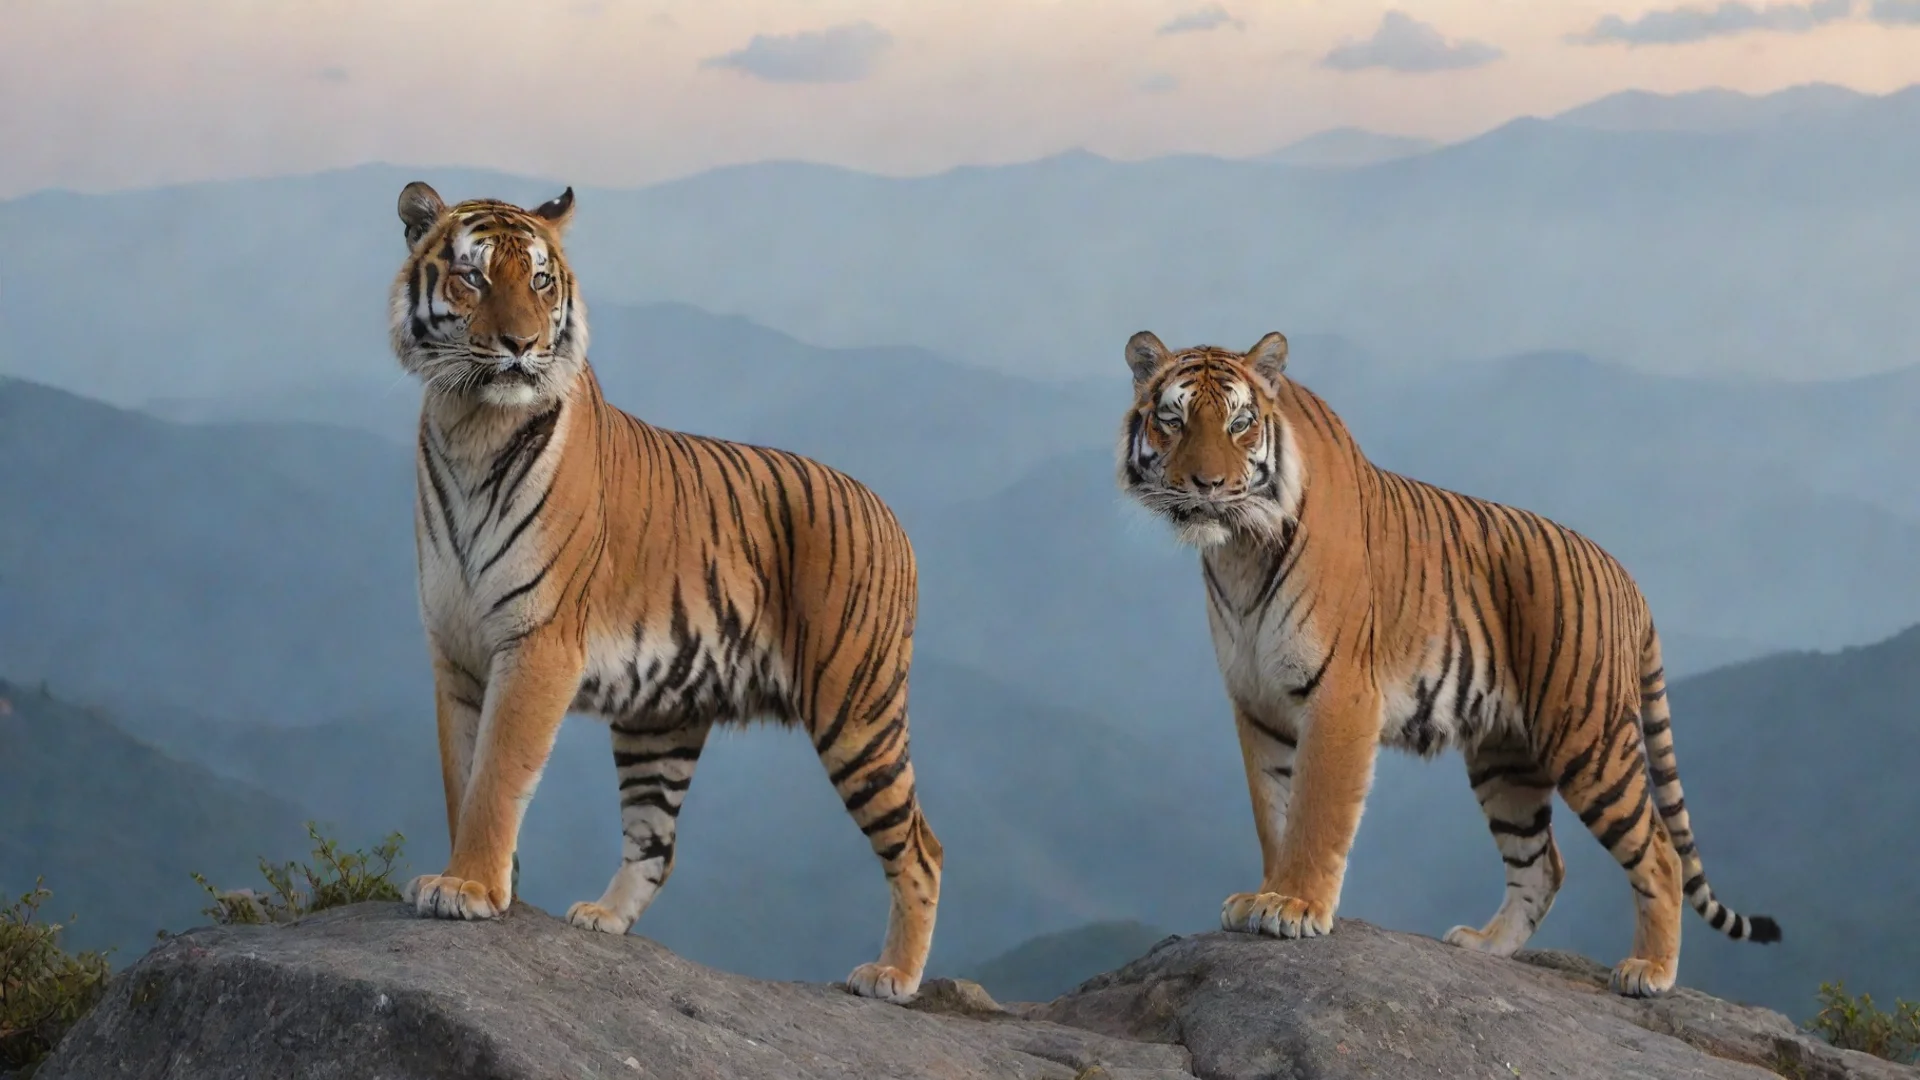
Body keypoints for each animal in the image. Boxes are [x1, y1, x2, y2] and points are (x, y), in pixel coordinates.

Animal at [385, 181, 942, 1002]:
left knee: (922, 848)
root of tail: (890, 513)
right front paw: (482, 881)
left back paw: (892, 976)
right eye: (473, 278)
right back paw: (601, 918)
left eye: (540, 281)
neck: (470, 423)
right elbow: (462, 776)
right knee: (657, 841)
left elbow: (496, 776)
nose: (521, 344)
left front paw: (468, 889)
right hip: (662, 717)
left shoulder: (537, 643)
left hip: (856, 711)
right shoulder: (454, 652)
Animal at [1116, 330, 1779, 997]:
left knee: (1661, 853)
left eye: (1241, 423)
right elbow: (1272, 813)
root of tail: (1631, 584)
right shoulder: (1258, 704)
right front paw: (1265, 894)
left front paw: (1294, 905)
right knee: (1543, 864)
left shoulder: (1339, 695)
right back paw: (1486, 946)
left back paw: (1649, 971)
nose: (1207, 485)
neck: (1239, 551)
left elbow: (1315, 809)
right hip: (1507, 759)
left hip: (1588, 741)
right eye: (1172, 420)